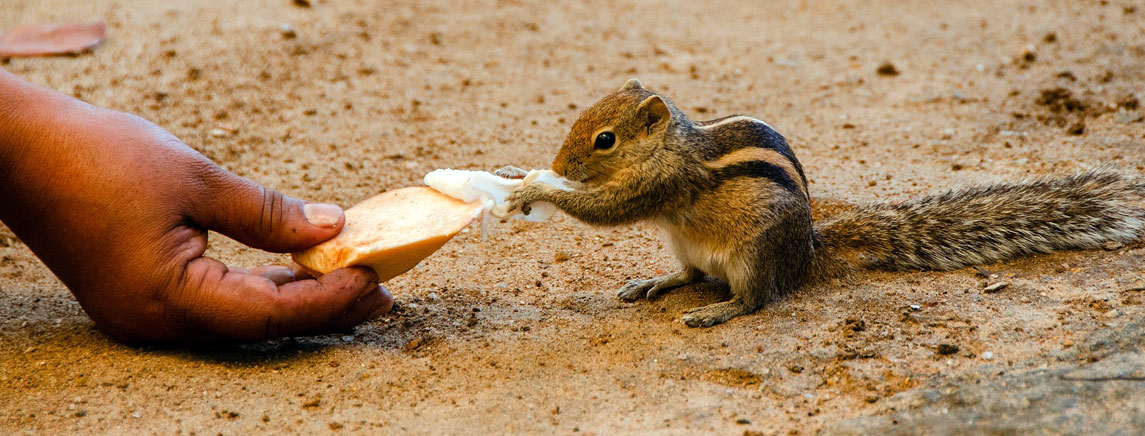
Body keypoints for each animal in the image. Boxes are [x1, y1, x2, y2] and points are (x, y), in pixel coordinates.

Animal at [503, 80, 1145, 327]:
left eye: (604, 140)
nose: (561, 164)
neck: (674, 144)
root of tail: (809, 249)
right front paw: (516, 173)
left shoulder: (662, 183)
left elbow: (606, 208)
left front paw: (532, 187)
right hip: (686, 243)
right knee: (690, 274)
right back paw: (653, 282)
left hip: (754, 255)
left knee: (755, 299)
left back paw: (718, 312)